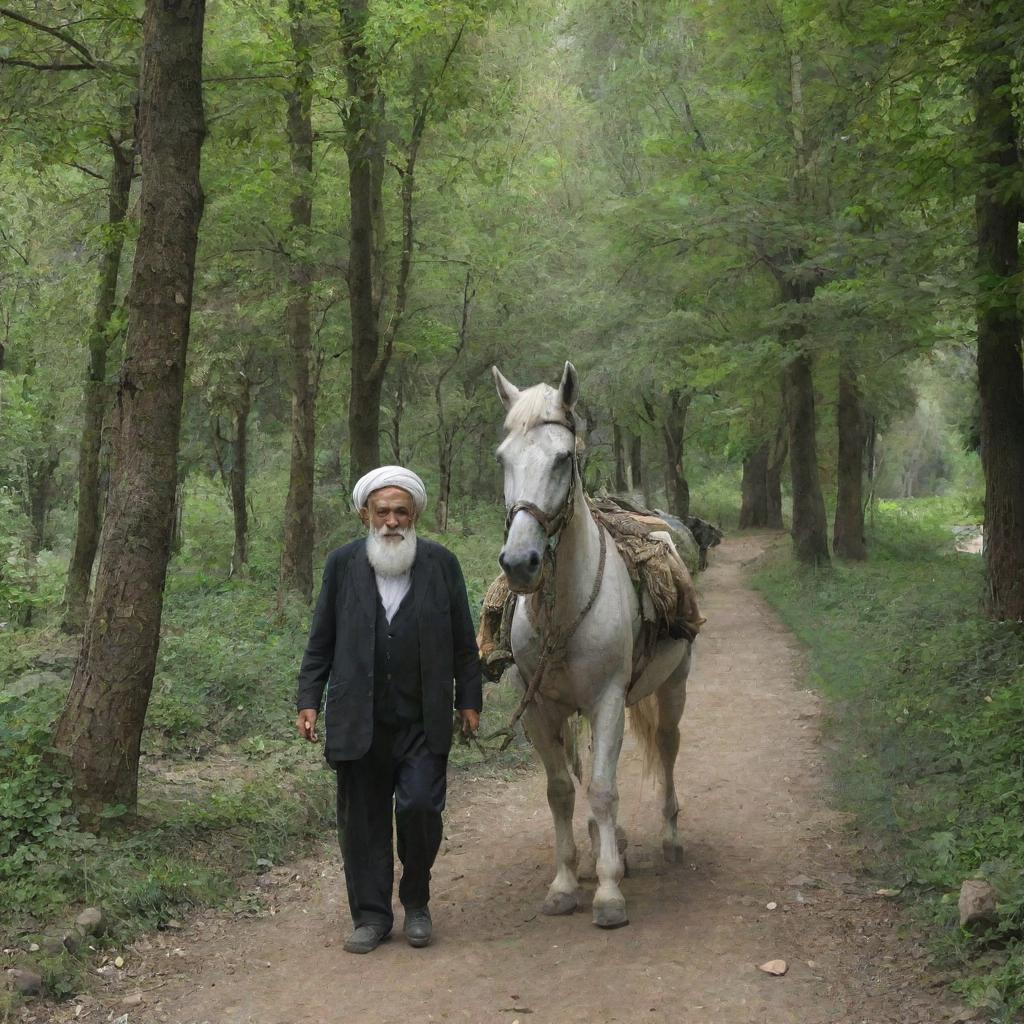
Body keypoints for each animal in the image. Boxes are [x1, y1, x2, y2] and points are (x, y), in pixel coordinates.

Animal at [493, 364, 692, 933]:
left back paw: (668, 838)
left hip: (672, 687)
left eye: (564, 458)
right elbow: (562, 789)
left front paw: (607, 893)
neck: (564, 609)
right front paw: (565, 882)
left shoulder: (606, 701)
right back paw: (613, 846)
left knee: (666, 747)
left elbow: (604, 788)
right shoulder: (541, 708)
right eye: (502, 458)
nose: (520, 563)